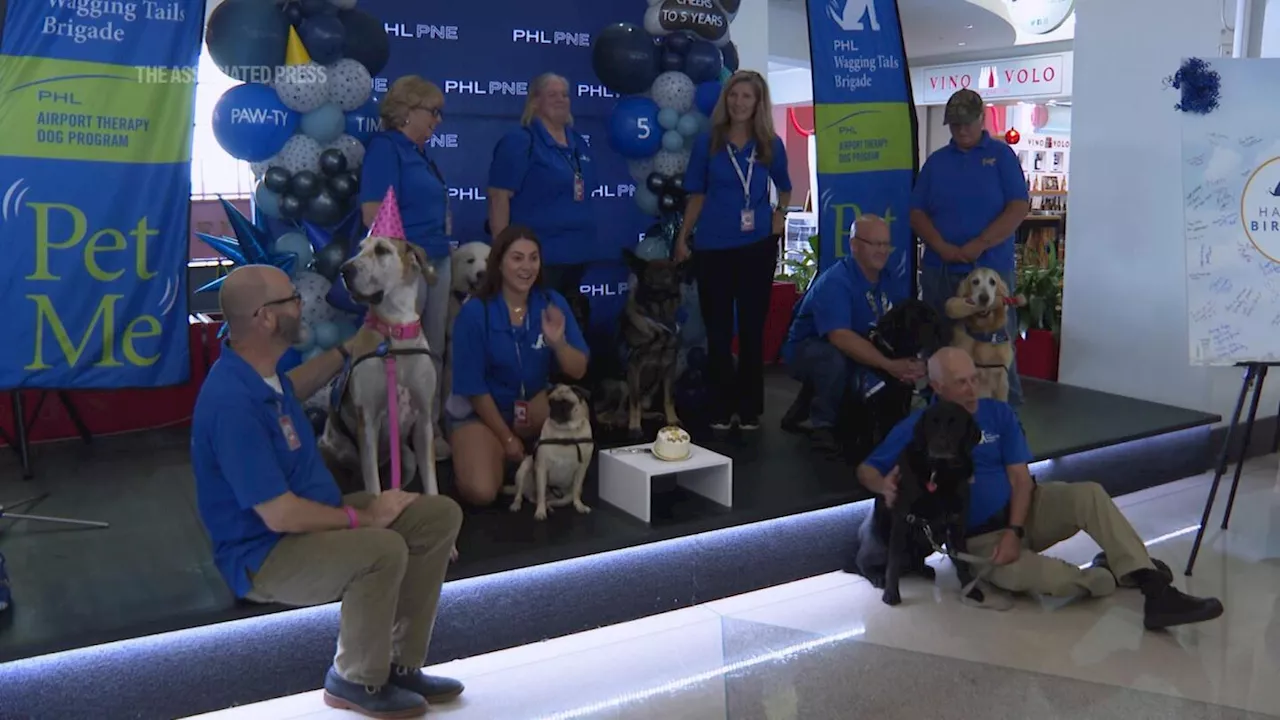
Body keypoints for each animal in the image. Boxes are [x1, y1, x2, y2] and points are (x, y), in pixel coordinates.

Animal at [318, 234, 440, 491]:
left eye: (382, 250)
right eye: (359, 249)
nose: (344, 270)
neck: (395, 335)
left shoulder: (423, 422)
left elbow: (432, 486)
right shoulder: (368, 424)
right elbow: (374, 489)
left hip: (407, 459)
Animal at [504, 384, 593, 517]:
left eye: (567, 403)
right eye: (551, 402)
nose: (555, 408)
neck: (565, 433)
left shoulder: (582, 469)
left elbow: (577, 490)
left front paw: (579, 506)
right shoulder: (542, 468)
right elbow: (541, 493)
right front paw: (540, 512)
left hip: (565, 498)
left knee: (550, 500)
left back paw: (549, 507)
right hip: (524, 468)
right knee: (523, 495)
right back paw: (517, 504)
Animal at [622, 245, 691, 438]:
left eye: (667, 276)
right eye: (647, 277)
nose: (654, 291)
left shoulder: (670, 366)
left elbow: (669, 398)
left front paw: (672, 420)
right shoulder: (633, 367)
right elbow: (634, 401)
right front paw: (634, 427)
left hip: (653, 387)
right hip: (623, 384)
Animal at [855, 397, 983, 604]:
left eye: (955, 423)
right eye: (933, 422)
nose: (940, 443)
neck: (939, 473)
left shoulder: (955, 522)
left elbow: (962, 561)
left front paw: (970, 590)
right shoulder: (902, 520)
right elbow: (893, 564)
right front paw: (891, 594)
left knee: (914, 561)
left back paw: (923, 569)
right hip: (877, 544)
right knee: (863, 563)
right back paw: (877, 576)